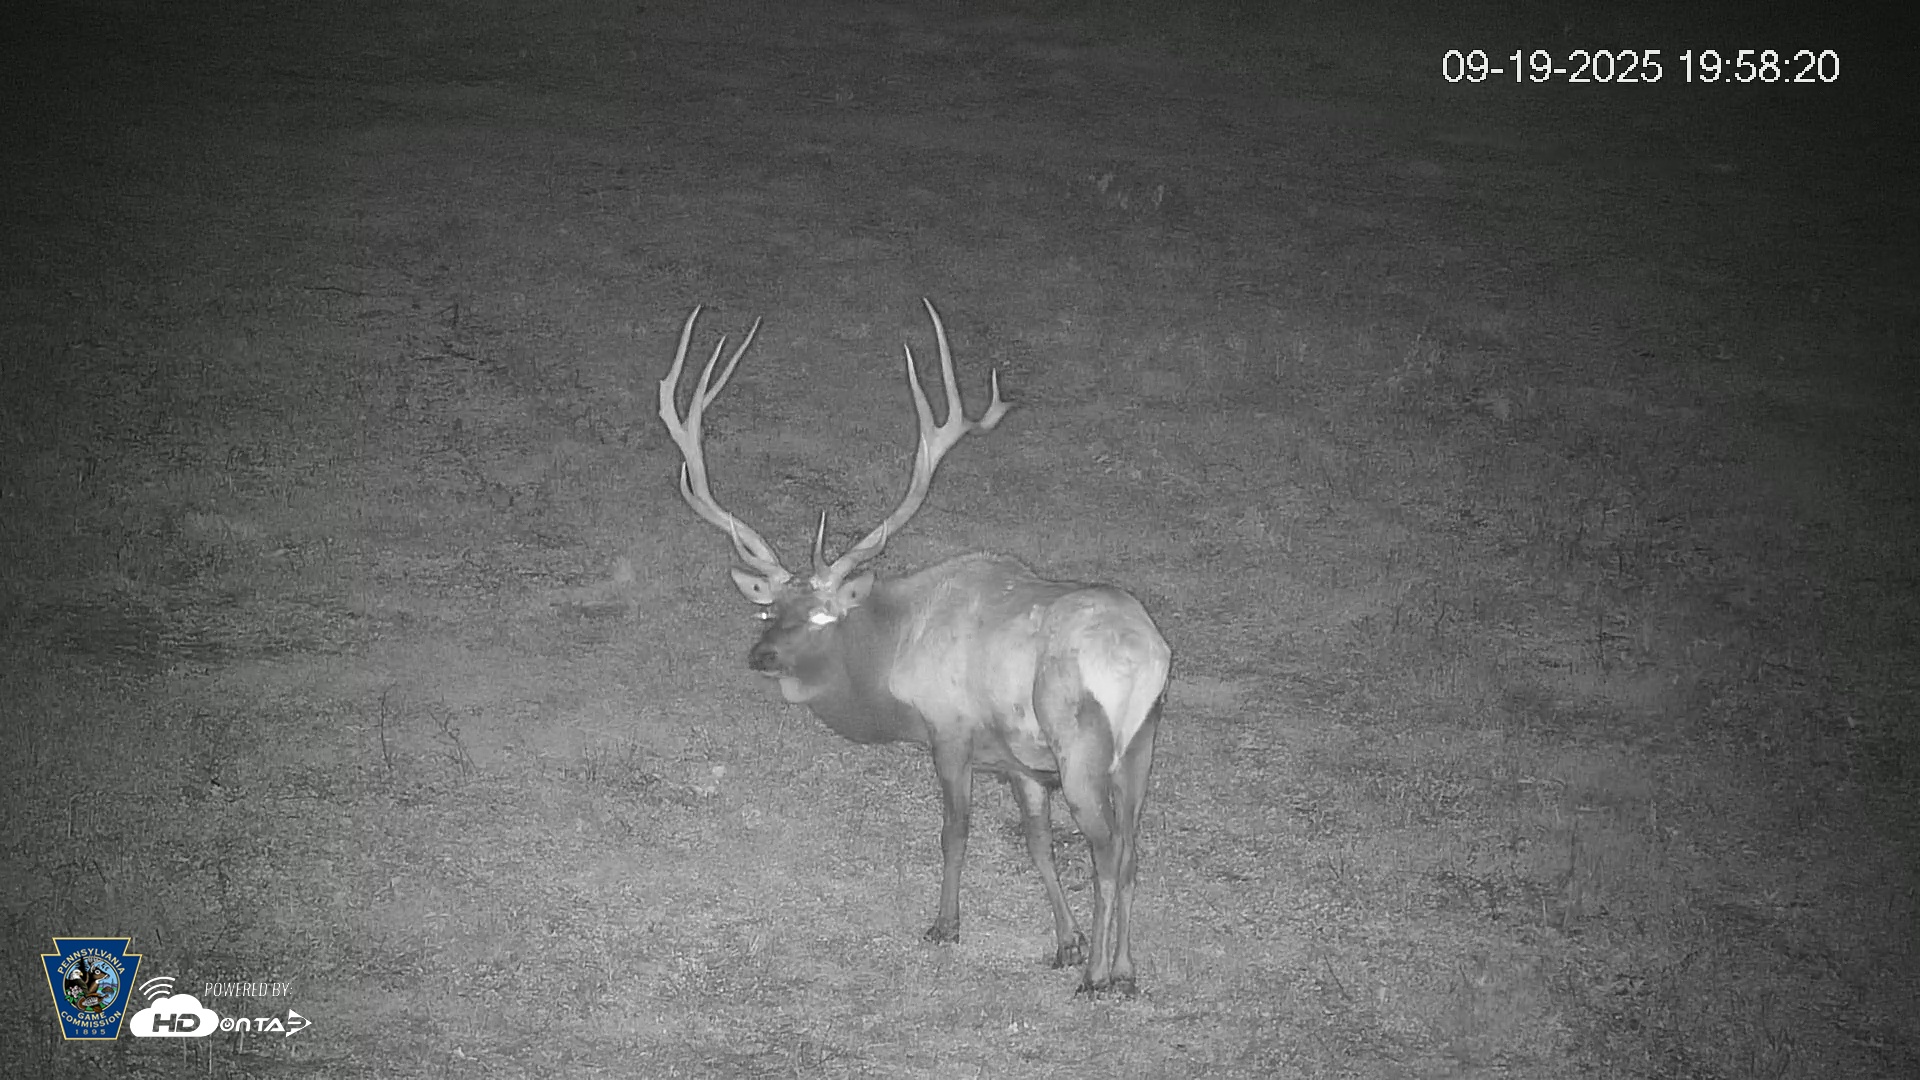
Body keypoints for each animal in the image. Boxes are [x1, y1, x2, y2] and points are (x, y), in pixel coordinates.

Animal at [657, 299, 1171, 995]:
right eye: (768, 608)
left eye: (822, 615)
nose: (760, 656)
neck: (891, 661)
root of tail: (1144, 656)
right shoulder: (1021, 764)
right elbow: (1037, 842)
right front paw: (1066, 942)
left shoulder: (950, 731)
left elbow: (955, 831)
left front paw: (946, 926)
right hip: (1141, 745)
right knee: (1133, 848)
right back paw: (1124, 969)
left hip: (1081, 745)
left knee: (1107, 851)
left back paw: (1097, 980)